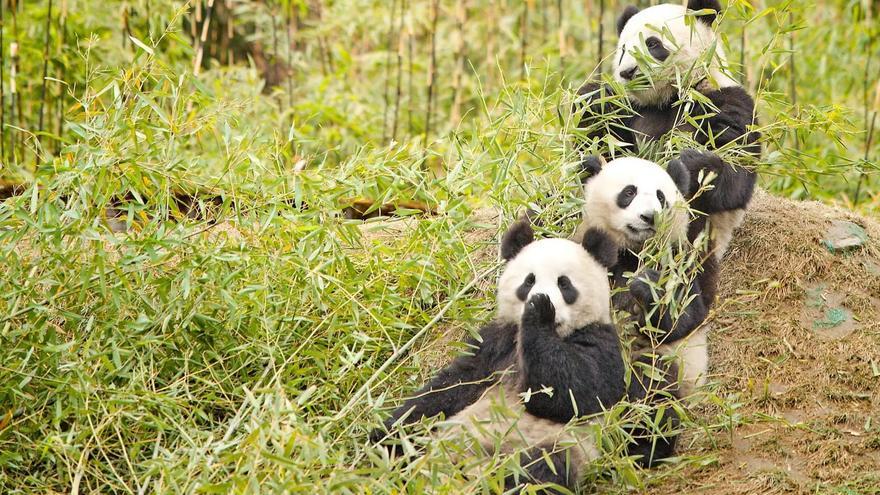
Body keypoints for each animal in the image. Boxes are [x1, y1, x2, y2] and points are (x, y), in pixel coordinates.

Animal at [371, 217, 679, 492]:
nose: (541, 297)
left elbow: (577, 392)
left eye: (564, 283)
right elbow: (451, 387)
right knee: (405, 441)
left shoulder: (601, 342)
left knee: (537, 472)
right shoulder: (497, 344)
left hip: (549, 446)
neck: (557, 334)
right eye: (529, 280)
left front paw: (540, 312)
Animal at [574, 155, 711, 397]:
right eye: (629, 192)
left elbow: (685, 316)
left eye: (661, 196)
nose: (649, 217)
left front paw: (648, 286)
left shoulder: (677, 262)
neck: (633, 250)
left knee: (652, 376)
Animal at [575, 0, 761, 263]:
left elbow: (734, 173)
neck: (669, 97)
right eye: (622, 50)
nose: (627, 72)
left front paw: (690, 162)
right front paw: (595, 101)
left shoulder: (724, 101)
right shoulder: (634, 111)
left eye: (652, 44)